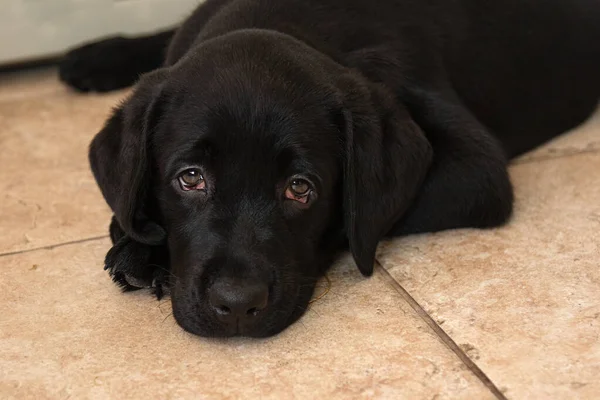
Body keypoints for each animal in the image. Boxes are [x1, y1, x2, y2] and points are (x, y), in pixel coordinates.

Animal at [59, 0, 600, 338]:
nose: (237, 306)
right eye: (190, 178)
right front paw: (138, 242)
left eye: (301, 189)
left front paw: (142, 247)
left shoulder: (477, 170)